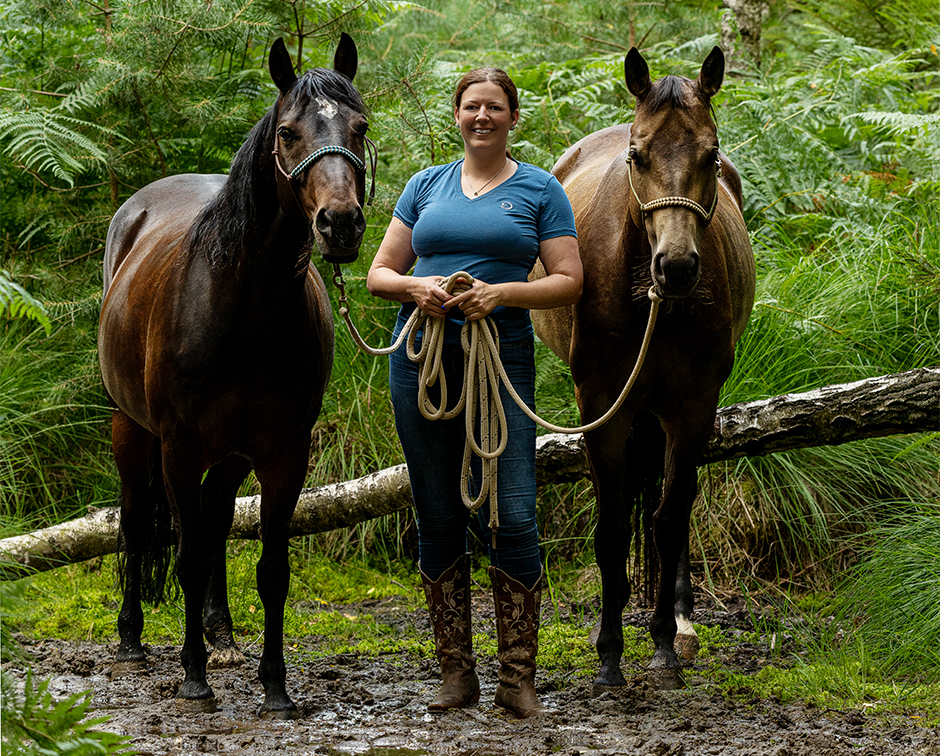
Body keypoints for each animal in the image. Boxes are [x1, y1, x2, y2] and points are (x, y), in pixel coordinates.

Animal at [99, 37, 370, 720]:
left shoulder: (283, 453)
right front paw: (193, 679)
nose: (340, 224)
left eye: (359, 127)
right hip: (130, 428)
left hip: (229, 456)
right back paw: (132, 641)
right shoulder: (178, 448)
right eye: (288, 133)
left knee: (218, 519)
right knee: (136, 521)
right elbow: (189, 556)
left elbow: (271, 568)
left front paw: (274, 686)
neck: (244, 307)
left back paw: (220, 636)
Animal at [532, 47, 752, 692]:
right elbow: (610, 527)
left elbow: (670, 518)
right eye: (638, 154)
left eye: (712, 155)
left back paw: (678, 621)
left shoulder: (693, 406)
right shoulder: (602, 404)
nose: (675, 267)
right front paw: (609, 654)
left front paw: (663, 642)